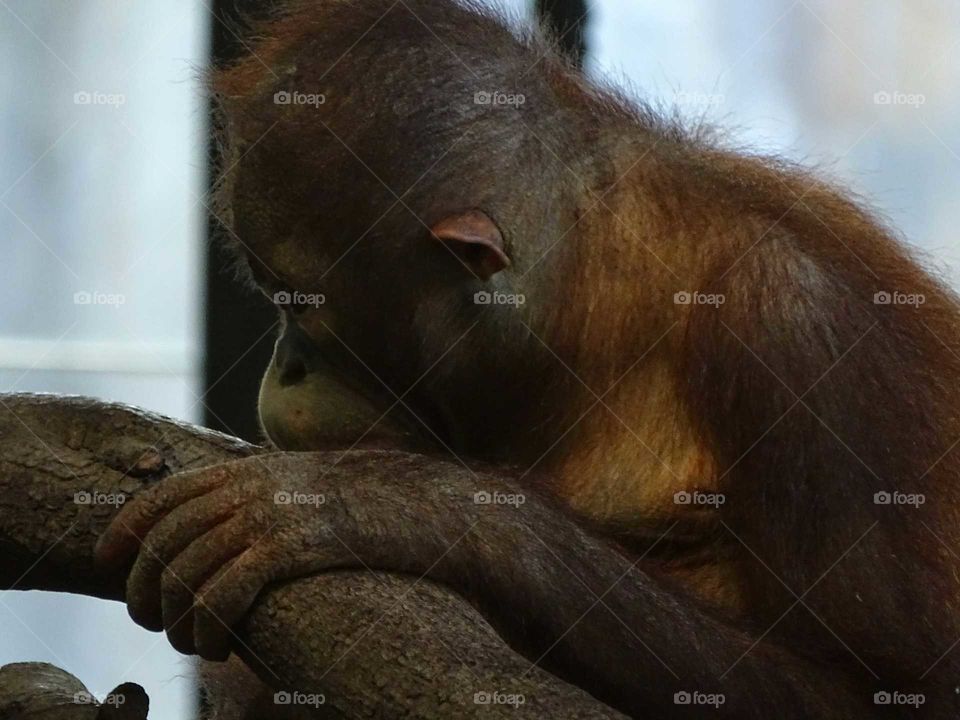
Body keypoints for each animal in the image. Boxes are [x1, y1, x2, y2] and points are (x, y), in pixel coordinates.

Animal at [93, 1, 960, 718]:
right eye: (273, 297)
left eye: (296, 302)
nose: (286, 365)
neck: (587, 301)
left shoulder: (800, 328)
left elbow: (879, 690)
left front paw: (396, 507)